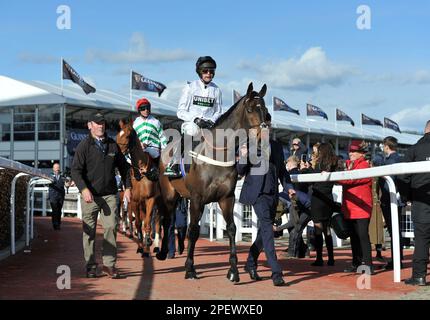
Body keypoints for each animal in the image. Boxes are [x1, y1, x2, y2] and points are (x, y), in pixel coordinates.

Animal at [116, 122, 160, 258]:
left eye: (127, 136)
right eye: (117, 135)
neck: (141, 173)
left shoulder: (151, 199)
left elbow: (147, 223)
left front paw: (147, 244)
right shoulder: (135, 201)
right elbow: (138, 223)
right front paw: (141, 247)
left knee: (157, 222)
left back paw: (155, 246)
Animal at [156, 83, 268, 282]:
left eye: (266, 110)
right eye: (249, 109)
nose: (262, 136)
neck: (217, 154)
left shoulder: (227, 198)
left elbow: (231, 228)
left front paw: (233, 270)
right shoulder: (198, 199)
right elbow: (193, 231)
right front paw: (190, 269)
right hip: (169, 194)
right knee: (167, 220)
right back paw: (162, 252)